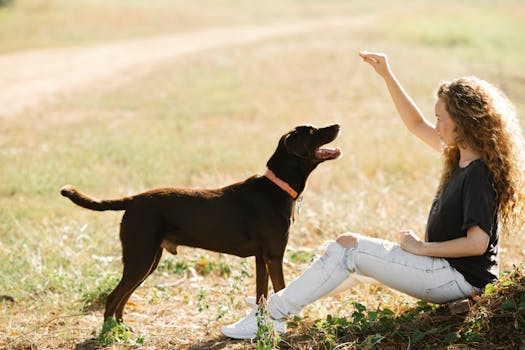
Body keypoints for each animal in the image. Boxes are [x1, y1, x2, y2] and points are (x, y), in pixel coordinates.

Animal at [61, 123, 342, 322]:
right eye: (313, 131)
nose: (338, 125)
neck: (276, 187)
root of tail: (133, 200)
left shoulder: (261, 258)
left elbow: (261, 296)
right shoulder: (274, 256)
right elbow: (281, 289)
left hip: (148, 261)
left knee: (122, 297)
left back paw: (121, 327)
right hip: (139, 259)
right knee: (112, 298)